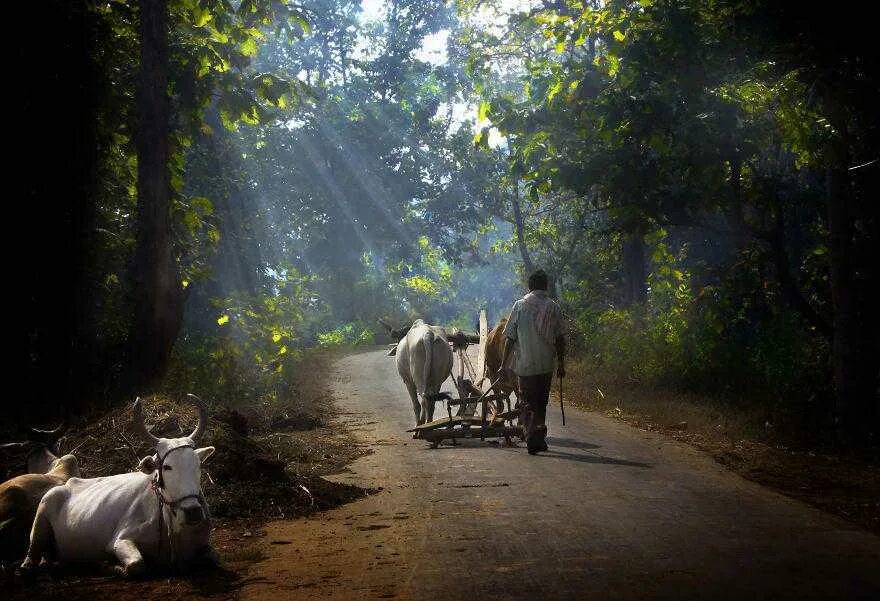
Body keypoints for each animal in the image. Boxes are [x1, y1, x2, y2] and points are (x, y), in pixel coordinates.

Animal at [22, 396, 217, 576]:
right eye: (167, 467)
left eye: (198, 465)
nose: (193, 511)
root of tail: (69, 483)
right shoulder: (120, 541)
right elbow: (136, 564)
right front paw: (109, 565)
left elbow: (211, 558)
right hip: (42, 513)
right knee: (32, 554)